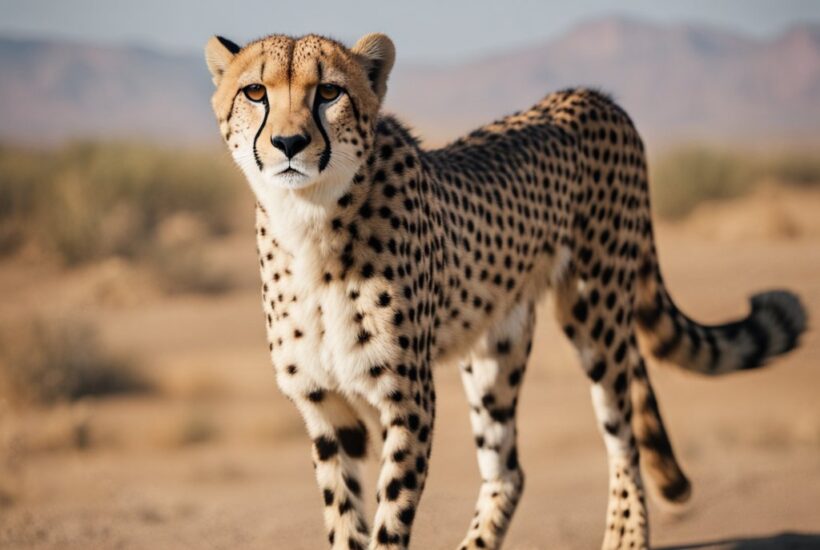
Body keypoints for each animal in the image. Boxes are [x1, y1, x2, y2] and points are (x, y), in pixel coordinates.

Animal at [204, 32, 807, 549]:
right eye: (255, 92)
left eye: (328, 92)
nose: (289, 143)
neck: (309, 220)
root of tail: (589, 95)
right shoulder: (328, 409)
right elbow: (344, 518)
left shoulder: (408, 397)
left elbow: (390, 519)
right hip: (494, 348)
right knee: (509, 469)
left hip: (596, 313)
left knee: (623, 439)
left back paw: (626, 535)